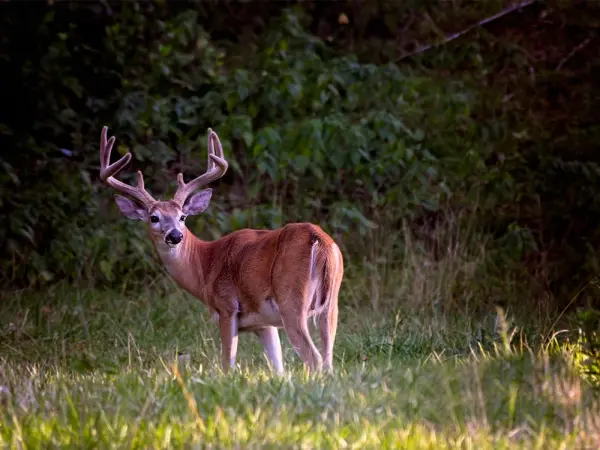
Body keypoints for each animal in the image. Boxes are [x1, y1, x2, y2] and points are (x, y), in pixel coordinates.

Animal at [97, 125, 342, 372]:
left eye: (182, 216)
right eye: (154, 217)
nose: (175, 235)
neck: (204, 265)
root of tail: (319, 239)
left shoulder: (226, 307)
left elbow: (227, 365)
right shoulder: (264, 324)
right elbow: (278, 369)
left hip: (291, 299)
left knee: (314, 358)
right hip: (331, 304)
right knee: (328, 359)